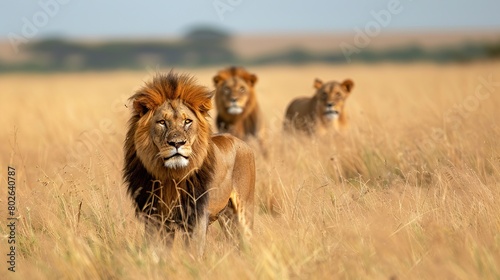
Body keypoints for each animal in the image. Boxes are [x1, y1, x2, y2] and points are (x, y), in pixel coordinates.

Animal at [123, 72, 256, 252]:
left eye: (187, 121)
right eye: (162, 122)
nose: (177, 143)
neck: (171, 176)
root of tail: (242, 142)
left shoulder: (197, 217)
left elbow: (193, 252)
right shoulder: (155, 218)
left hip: (243, 212)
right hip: (227, 217)